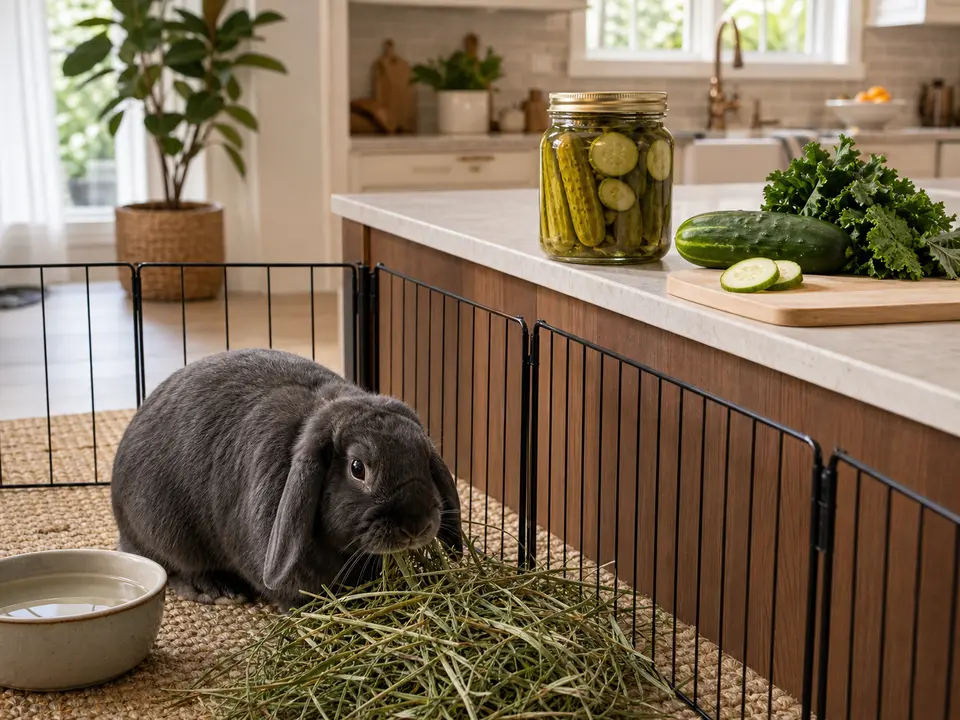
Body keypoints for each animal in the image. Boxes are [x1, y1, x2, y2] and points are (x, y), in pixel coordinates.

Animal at [110, 347, 462, 610]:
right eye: (358, 468)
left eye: (422, 457)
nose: (416, 525)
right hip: (169, 533)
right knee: (175, 568)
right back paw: (220, 591)